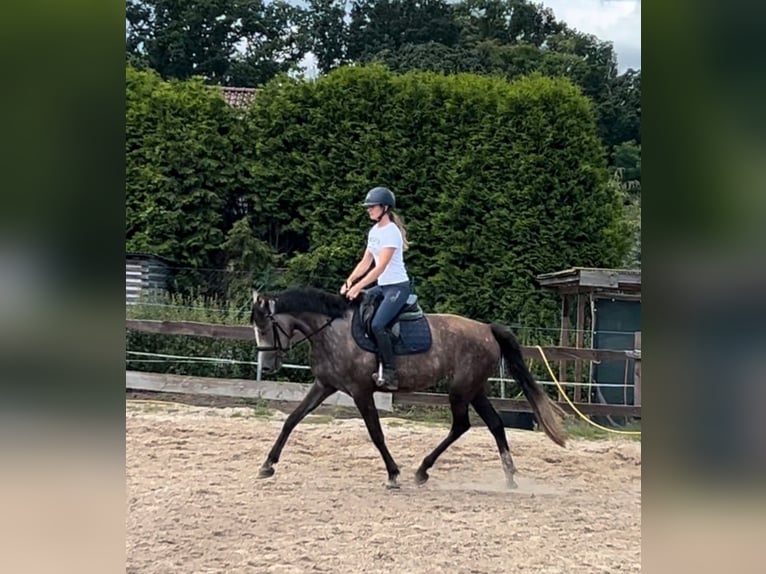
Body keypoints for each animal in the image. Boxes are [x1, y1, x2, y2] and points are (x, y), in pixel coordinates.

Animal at [249, 286, 568, 490]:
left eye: (264, 328)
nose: (267, 365)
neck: (332, 330)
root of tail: (487, 329)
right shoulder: (324, 385)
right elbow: (292, 420)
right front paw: (267, 465)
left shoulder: (361, 392)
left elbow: (376, 434)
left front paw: (393, 475)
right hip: (474, 390)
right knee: (495, 424)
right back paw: (509, 476)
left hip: (461, 389)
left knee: (462, 425)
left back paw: (422, 470)